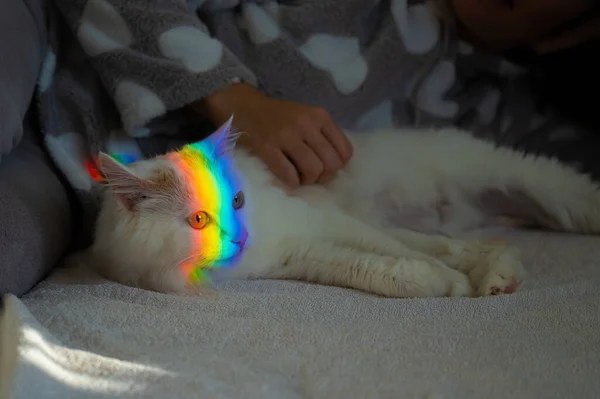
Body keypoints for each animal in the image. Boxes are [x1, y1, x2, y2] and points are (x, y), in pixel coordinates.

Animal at [86, 120, 600, 298]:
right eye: (198, 220)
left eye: (237, 201)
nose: (243, 235)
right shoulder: (300, 253)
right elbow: (382, 268)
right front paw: (440, 283)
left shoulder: (321, 221)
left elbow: (405, 253)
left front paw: (455, 282)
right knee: (470, 243)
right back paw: (498, 276)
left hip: (515, 177)